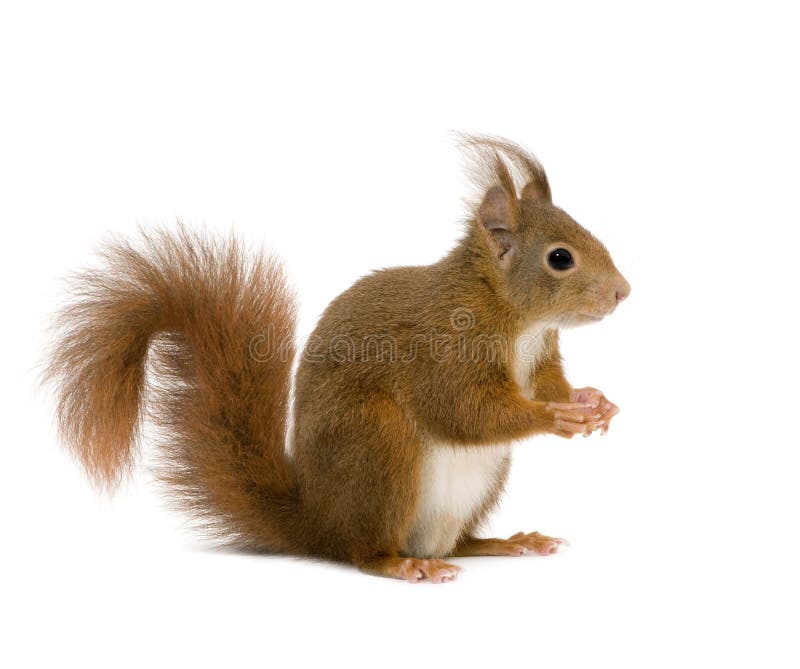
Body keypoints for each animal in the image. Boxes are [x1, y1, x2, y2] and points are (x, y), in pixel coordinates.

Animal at [43, 134, 632, 580]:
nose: (624, 292)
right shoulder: (444, 348)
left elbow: (547, 384)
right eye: (560, 258)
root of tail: (319, 523)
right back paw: (403, 565)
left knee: (454, 544)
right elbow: (465, 412)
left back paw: (505, 542)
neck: (518, 320)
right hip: (378, 445)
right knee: (362, 551)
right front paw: (556, 417)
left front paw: (591, 400)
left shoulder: (540, 358)